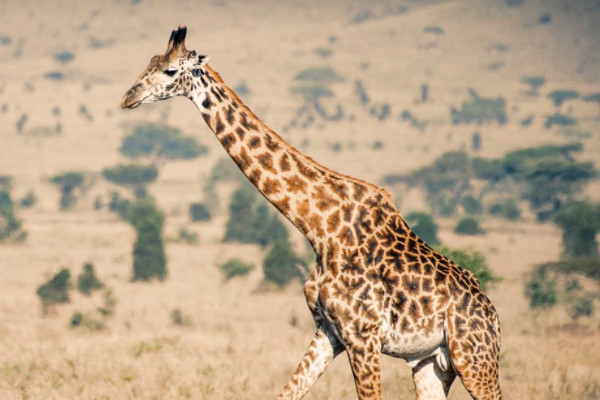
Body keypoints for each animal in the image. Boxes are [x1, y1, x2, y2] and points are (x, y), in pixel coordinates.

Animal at [120, 26, 502, 398]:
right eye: (150, 62)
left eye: (171, 71)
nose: (128, 97)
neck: (319, 226)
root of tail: (493, 316)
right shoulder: (328, 332)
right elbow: (287, 392)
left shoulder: (363, 335)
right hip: (431, 363)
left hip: (473, 358)